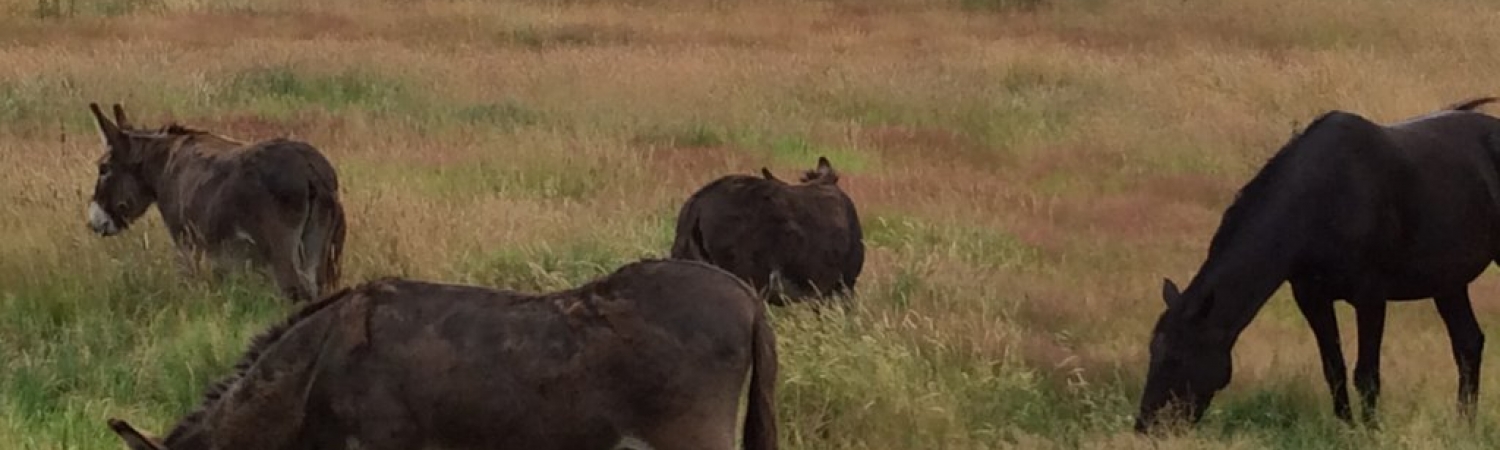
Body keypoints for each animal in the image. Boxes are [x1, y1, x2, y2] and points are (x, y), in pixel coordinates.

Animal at [1134, 97, 1500, 432]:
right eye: (1153, 351)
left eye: (1178, 357)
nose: (1146, 425)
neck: (1327, 197)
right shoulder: (1311, 297)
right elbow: (1333, 368)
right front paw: (1346, 429)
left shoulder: (1370, 297)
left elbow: (1366, 373)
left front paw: (1371, 431)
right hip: (1449, 283)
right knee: (1468, 343)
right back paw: (1463, 426)